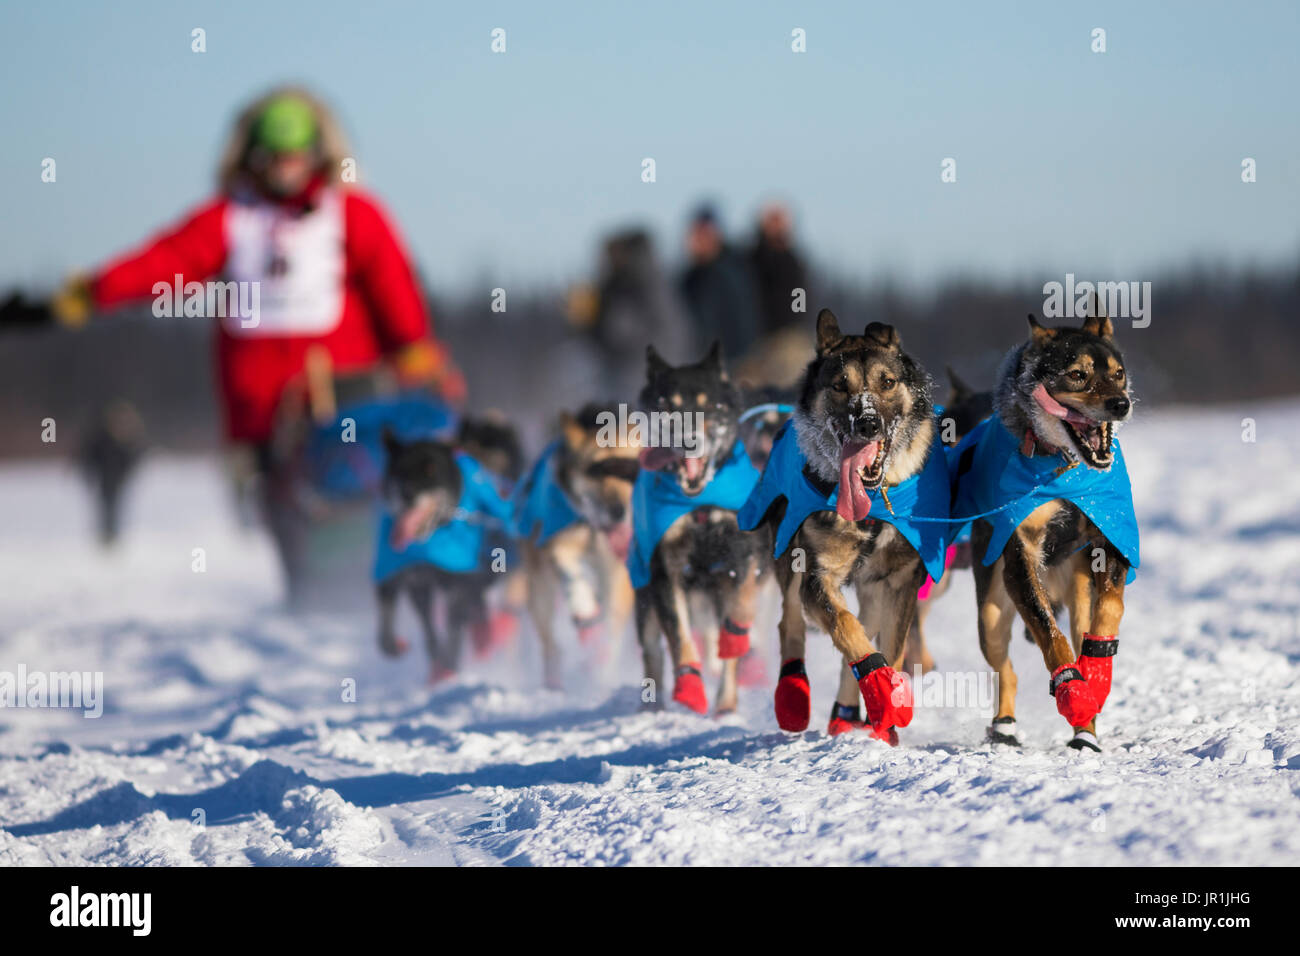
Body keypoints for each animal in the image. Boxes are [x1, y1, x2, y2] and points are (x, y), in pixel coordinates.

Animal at [951, 310, 1144, 749]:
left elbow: (1110, 609)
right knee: (1006, 669)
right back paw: (1005, 725)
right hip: (991, 609)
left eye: (1119, 374)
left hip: (1077, 592)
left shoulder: (1107, 537)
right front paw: (1071, 688)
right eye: (1077, 375)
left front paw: (1096, 675)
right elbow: (1048, 634)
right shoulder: (1020, 553)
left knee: (1079, 627)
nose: (1120, 404)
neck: (1064, 466)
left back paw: (1086, 730)